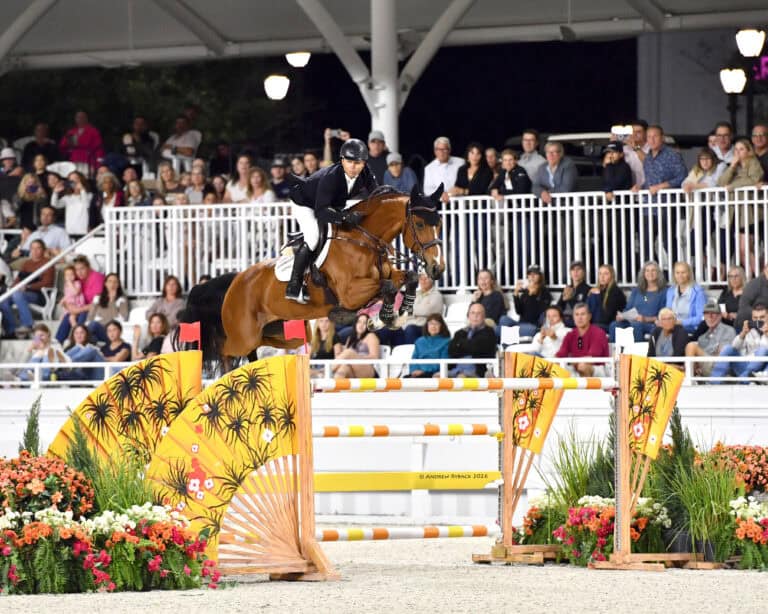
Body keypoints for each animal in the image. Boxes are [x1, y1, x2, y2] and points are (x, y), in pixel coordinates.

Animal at [179, 184, 445, 363]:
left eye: (440, 224)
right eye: (420, 224)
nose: (438, 268)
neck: (363, 241)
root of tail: (234, 281)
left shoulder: (387, 277)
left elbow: (407, 278)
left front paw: (395, 315)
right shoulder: (350, 293)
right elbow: (388, 287)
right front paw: (386, 316)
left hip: (284, 332)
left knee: (259, 346)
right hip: (242, 336)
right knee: (226, 353)